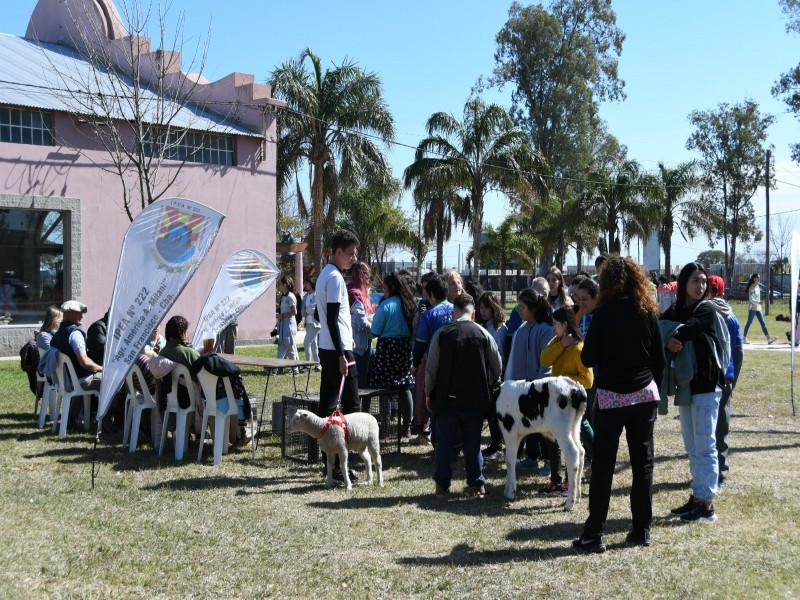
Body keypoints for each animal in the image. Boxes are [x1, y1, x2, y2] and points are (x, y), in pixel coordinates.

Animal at [494, 376, 588, 510]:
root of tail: (575, 387)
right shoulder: (518, 433)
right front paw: (508, 487)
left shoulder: (509, 430)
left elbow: (509, 460)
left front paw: (510, 491)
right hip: (575, 426)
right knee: (581, 452)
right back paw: (578, 496)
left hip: (560, 428)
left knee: (572, 453)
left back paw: (569, 502)